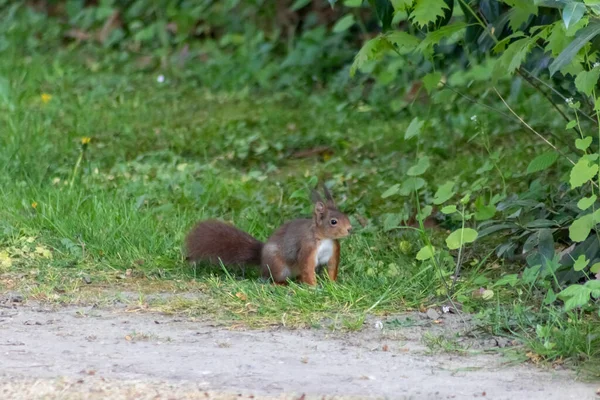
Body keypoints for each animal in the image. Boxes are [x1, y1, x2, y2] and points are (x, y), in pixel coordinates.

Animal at [183, 187, 352, 284]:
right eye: (333, 221)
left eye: (345, 215)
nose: (350, 229)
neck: (325, 239)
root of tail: (262, 260)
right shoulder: (307, 248)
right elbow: (307, 268)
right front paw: (313, 287)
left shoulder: (334, 251)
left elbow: (332, 268)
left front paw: (333, 285)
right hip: (278, 266)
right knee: (271, 278)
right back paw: (282, 284)